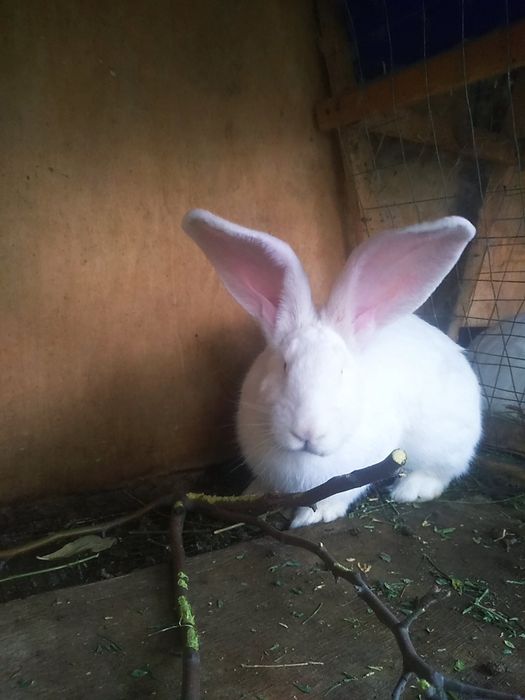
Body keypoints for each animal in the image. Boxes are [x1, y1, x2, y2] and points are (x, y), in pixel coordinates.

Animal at [182, 209, 482, 528]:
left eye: (341, 372)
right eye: (284, 364)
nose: (306, 431)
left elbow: (333, 499)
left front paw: (310, 518)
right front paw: (251, 494)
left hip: (446, 443)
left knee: (443, 472)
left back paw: (411, 489)